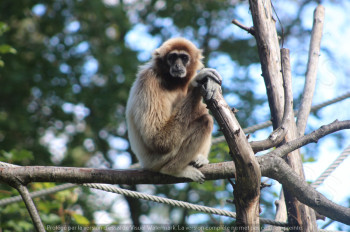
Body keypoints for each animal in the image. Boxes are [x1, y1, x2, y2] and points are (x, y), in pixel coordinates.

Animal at [126, 38, 221, 182]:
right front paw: (197, 81)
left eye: (184, 58)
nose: (177, 65)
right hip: (157, 160)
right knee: (205, 121)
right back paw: (174, 170)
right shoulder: (148, 80)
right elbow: (157, 139)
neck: (171, 82)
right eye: (172, 57)